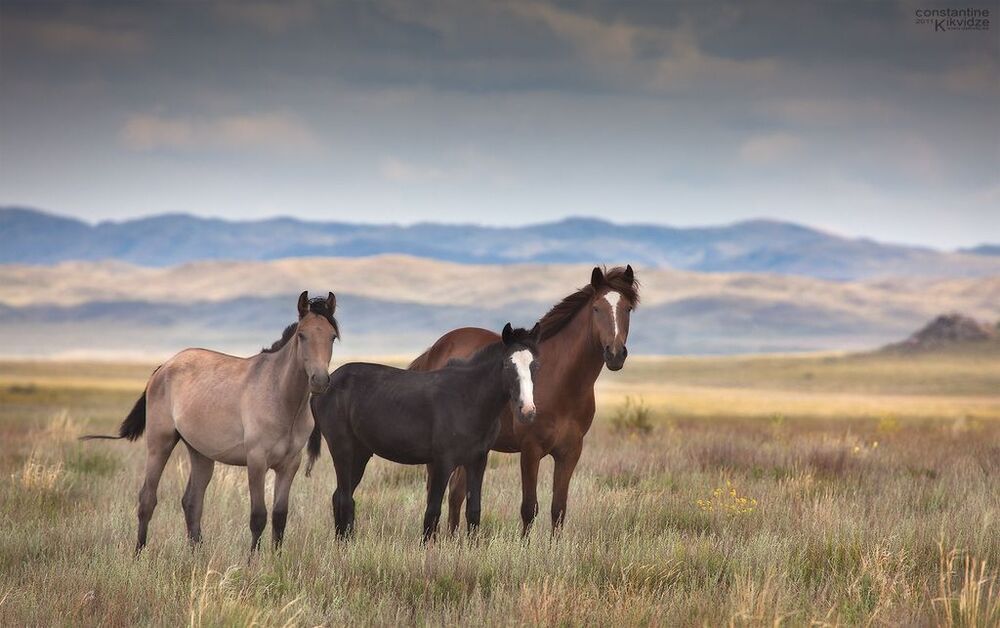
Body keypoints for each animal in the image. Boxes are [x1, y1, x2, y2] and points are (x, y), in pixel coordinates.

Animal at [82, 291, 339, 554]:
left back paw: (195, 555)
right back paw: (139, 553)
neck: (281, 397)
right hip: (159, 444)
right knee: (147, 499)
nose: (319, 380)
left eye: (332, 337)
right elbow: (258, 516)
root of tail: (164, 366)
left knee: (192, 502)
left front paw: (276, 559)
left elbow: (279, 516)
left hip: (200, 453)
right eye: (302, 335)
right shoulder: (257, 461)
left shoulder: (289, 465)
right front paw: (253, 561)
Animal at [306, 323, 541, 541]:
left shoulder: (477, 461)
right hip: (342, 449)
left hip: (360, 454)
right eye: (508, 365)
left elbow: (474, 511)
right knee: (344, 499)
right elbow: (432, 512)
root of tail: (325, 384)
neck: (467, 398)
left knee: (340, 497)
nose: (527, 411)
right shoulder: (443, 462)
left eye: (535, 365)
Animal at [408, 265, 638, 535]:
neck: (562, 382)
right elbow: (529, 508)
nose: (615, 354)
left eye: (627, 309)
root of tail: (436, 349)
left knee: (456, 494)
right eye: (596, 308)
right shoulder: (530, 449)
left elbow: (558, 509)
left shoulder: (570, 452)